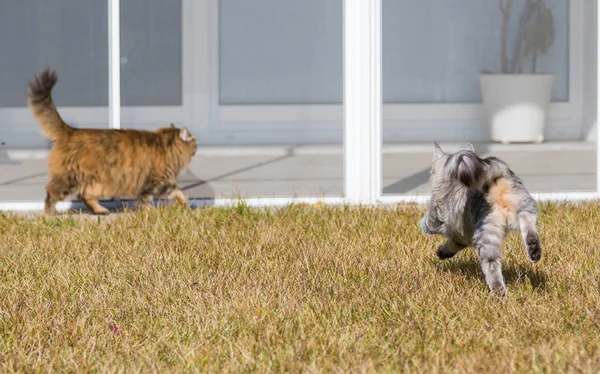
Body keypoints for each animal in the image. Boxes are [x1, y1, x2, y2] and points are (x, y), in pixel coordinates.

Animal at [27, 68, 197, 215]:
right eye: (194, 142)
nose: (196, 147)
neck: (166, 147)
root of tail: (71, 130)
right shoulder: (152, 183)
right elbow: (145, 202)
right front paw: (149, 213)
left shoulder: (166, 185)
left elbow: (179, 194)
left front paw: (187, 208)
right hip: (69, 178)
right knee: (51, 193)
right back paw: (50, 213)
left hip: (94, 183)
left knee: (85, 196)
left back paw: (100, 211)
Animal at [420, 142, 540, 296]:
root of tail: (494, 178)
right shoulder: (461, 238)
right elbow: (450, 245)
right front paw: (441, 252)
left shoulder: (437, 216)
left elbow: (428, 224)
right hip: (522, 207)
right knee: (528, 227)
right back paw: (534, 250)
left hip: (486, 233)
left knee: (492, 267)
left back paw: (498, 294)